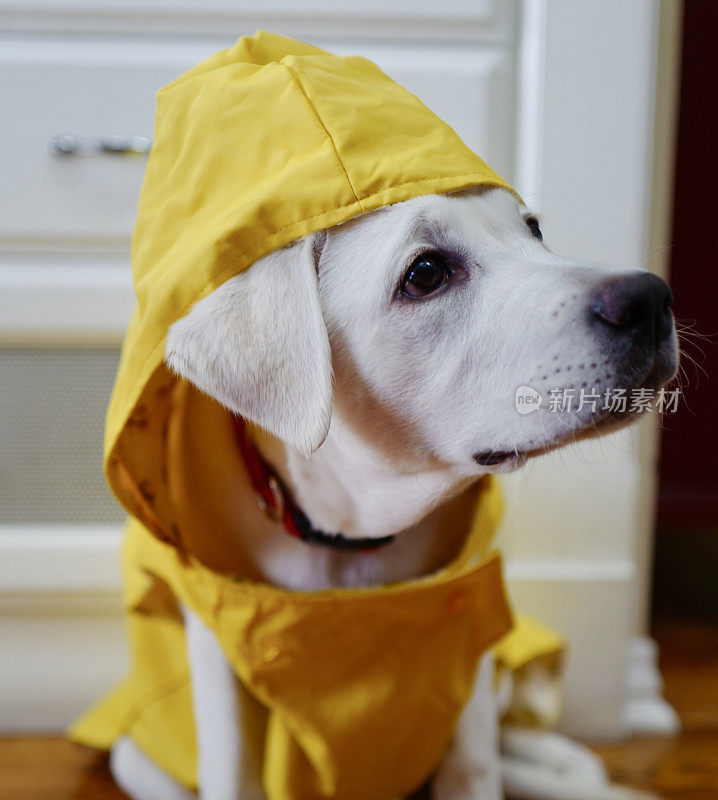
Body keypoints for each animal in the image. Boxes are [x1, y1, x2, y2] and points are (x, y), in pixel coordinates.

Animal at [104, 184, 676, 800]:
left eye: (534, 230)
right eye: (425, 273)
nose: (651, 297)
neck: (353, 543)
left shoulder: (470, 645)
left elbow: (475, 767)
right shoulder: (221, 658)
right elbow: (234, 771)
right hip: (135, 757)